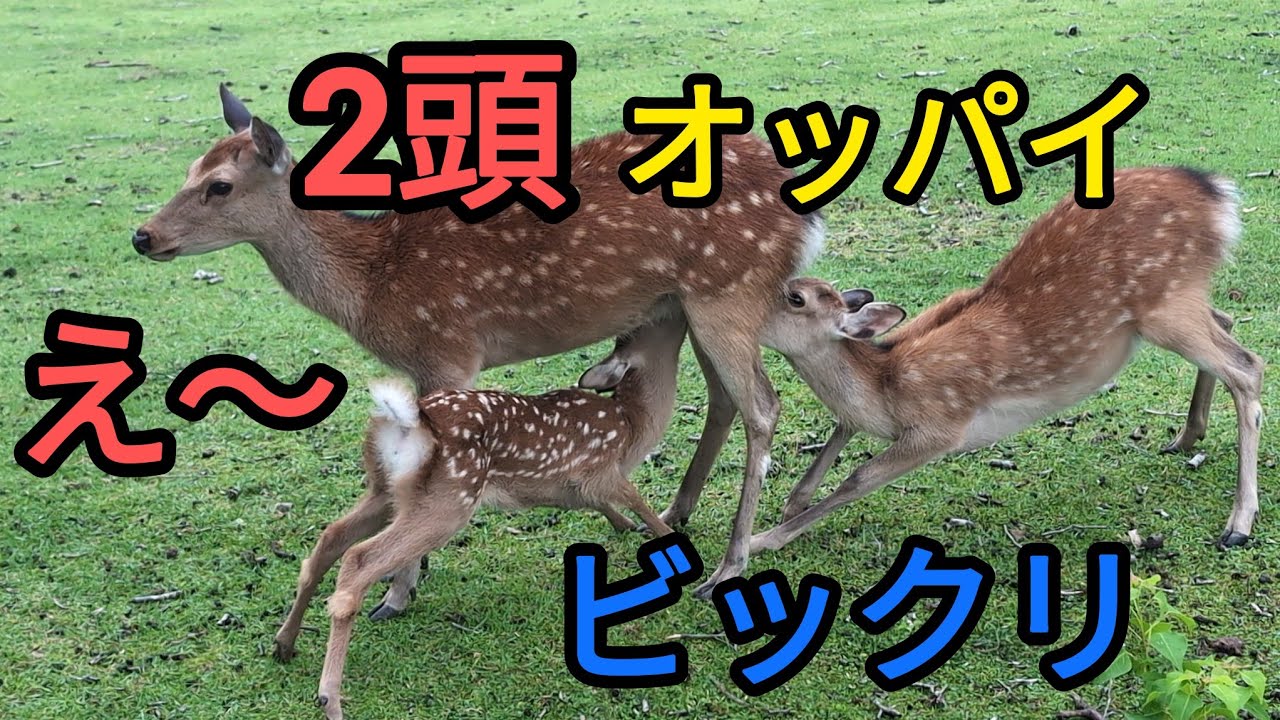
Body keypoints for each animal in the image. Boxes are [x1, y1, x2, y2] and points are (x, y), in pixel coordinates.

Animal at [135, 84, 825, 608]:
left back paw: (729, 566)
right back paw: (679, 513)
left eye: (220, 185)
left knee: (763, 406)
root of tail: (807, 214)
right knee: (724, 400)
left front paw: (399, 593)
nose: (144, 236)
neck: (371, 285)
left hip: (727, 290)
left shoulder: (447, 348)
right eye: (189, 170)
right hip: (692, 302)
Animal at [268, 312, 686, 719]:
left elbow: (605, 505)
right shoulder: (601, 471)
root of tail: (405, 423)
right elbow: (640, 501)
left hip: (385, 491)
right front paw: (670, 541)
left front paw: (625, 526)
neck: (631, 424)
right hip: (450, 498)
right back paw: (330, 699)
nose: (675, 311)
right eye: (648, 329)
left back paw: (284, 644)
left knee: (329, 540)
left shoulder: (578, 487)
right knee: (358, 560)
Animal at [745, 167, 1263, 555]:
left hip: (1163, 304)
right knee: (1227, 320)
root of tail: (1218, 194)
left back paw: (1238, 524)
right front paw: (791, 504)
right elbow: (841, 427)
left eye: (794, 297)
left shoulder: (940, 426)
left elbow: (858, 478)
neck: (885, 386)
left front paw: (760, 540)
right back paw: (1186, 436)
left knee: (1248, 365)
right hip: (1178, 302)